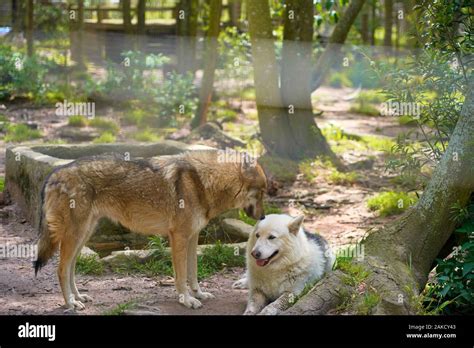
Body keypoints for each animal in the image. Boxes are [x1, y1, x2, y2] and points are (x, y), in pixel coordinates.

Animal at [35, 150, 266, 310]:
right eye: (262, 192)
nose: (264, 216)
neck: (202, 182)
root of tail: (54, 173)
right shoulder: (179, 237)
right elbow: (181, 276)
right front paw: (186, 300)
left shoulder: (193, 237)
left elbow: (193, 273)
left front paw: (199, 294)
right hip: (75, 236)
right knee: (61, 269)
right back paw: (70, 303)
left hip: (83, 235)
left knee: (71, 268)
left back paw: (78, 297)